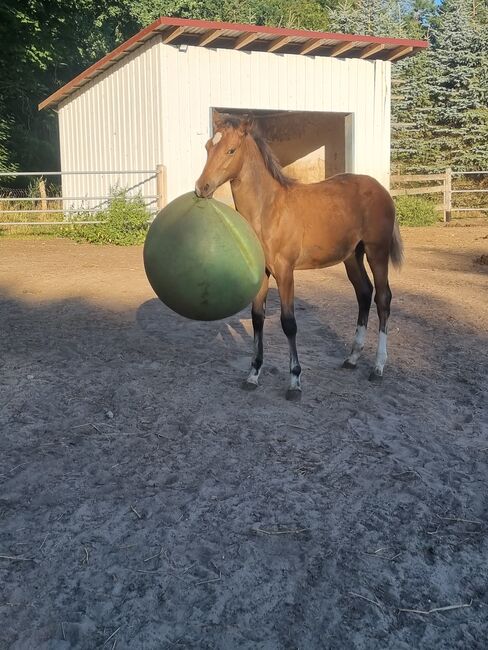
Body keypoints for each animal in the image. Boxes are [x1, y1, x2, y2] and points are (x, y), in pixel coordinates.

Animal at [194, 116, 404, 400]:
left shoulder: (285, 272)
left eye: (231, 150)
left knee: (383, 299)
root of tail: (382, 189)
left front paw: (295, 381)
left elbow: (289, 323)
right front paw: (253, 374)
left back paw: (378, 367)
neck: (268, 210)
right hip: (352, 256)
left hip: (376, 252)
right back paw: (352, 358)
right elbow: (257, 319)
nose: (201, 188)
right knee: (364, 293)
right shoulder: (263, 273)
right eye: (207, 147)